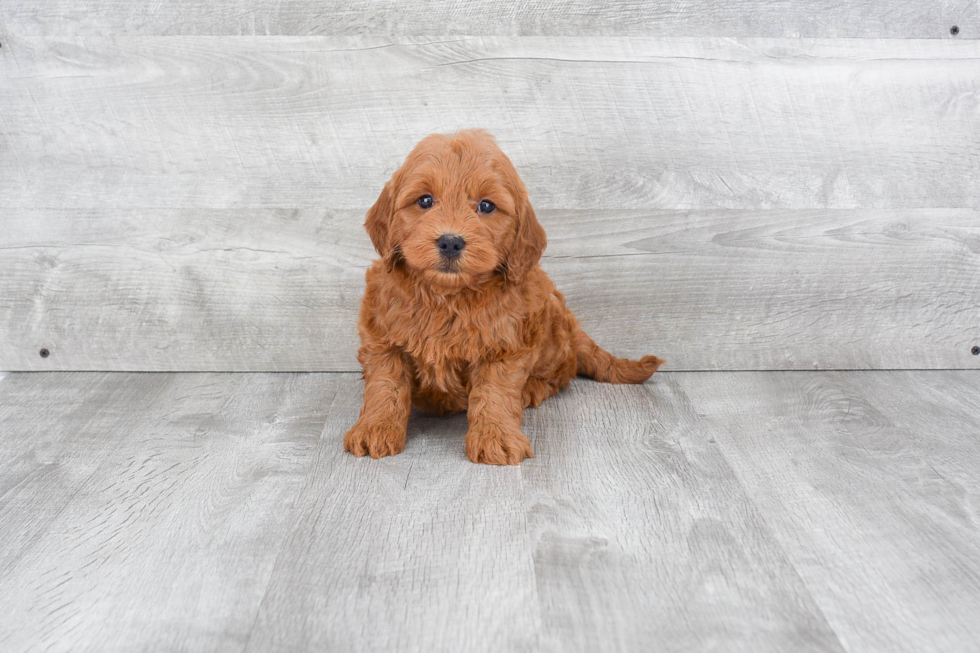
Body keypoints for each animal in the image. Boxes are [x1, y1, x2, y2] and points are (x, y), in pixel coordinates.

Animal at [346, 129, 668, 464]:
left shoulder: (506, 345)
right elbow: (386, 387)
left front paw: (495, 437)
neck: (448, 296)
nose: (450, 242)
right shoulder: (383, 340)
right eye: (425, 200)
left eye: (487, 206)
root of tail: (573, 327)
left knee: (560, 376)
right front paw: (376, 428)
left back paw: (532, 389)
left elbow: (495, 393)